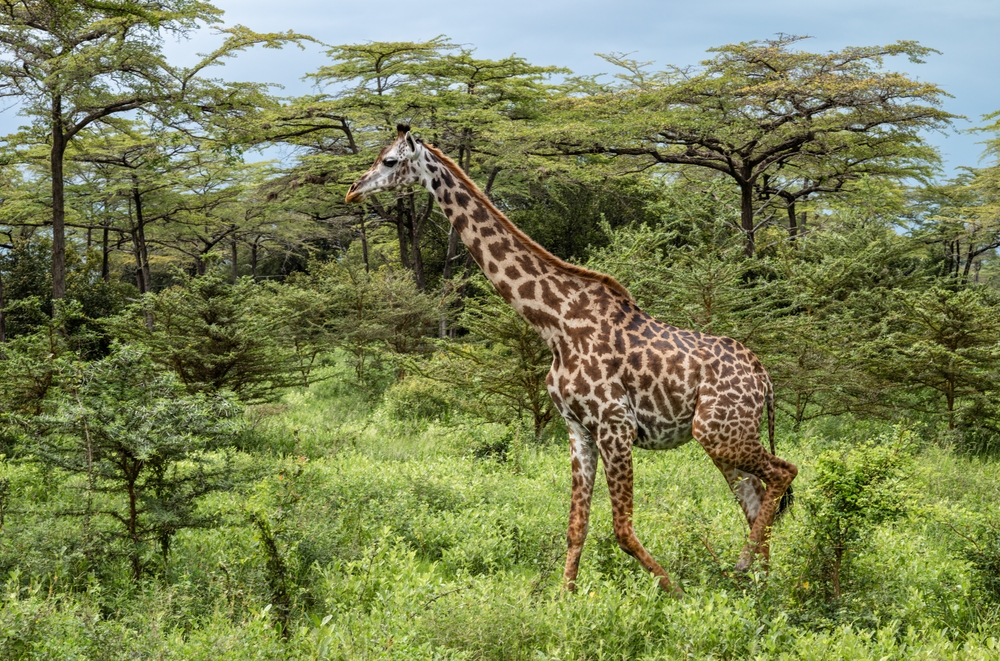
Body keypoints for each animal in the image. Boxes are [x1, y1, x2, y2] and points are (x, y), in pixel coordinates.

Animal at [348, 126, 800, 592]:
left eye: (388, 161)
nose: (352, 190)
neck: (554, 324)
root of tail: (764, 378)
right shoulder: (578, 428)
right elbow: (576, 526)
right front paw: (563, 599)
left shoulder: (615, 425)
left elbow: (622, 529)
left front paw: (674, 592)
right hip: (724, 437)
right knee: (754, 499)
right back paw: (759, 585)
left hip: (717, 430)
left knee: (783, 473)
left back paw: (744, 569)